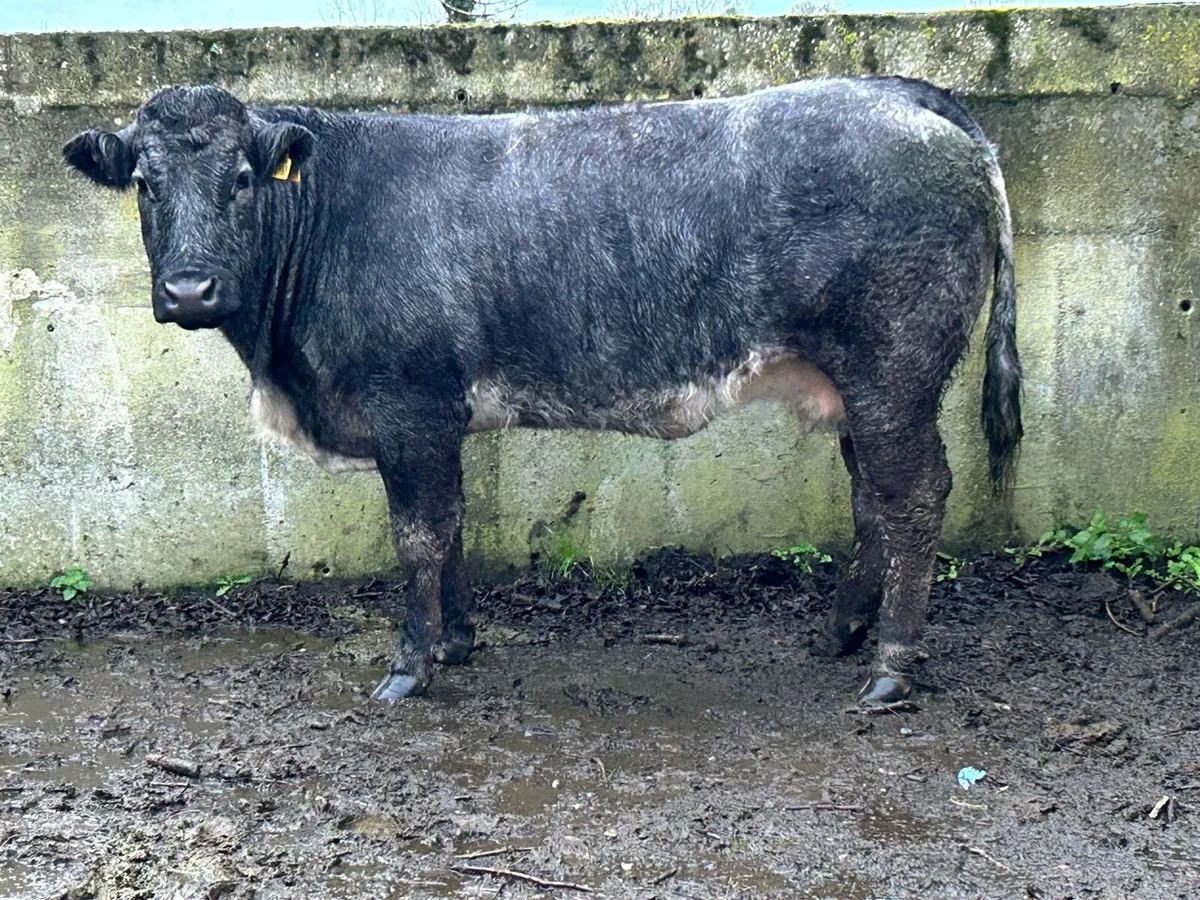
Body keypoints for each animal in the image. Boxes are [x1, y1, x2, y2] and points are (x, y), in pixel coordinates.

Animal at [62, 76, 1022, 705]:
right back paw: (841, 632)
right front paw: (458, 640)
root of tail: (902, 96)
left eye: (241, 179)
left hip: (893, 368)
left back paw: (890, 665)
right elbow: (448, 528)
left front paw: (411, 665)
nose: (190, 290)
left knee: (915, 495)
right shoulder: (436, 417)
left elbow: (418, 533)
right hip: (859, 385)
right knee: (872, 495)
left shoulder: (408, 403)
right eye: (144, 183)